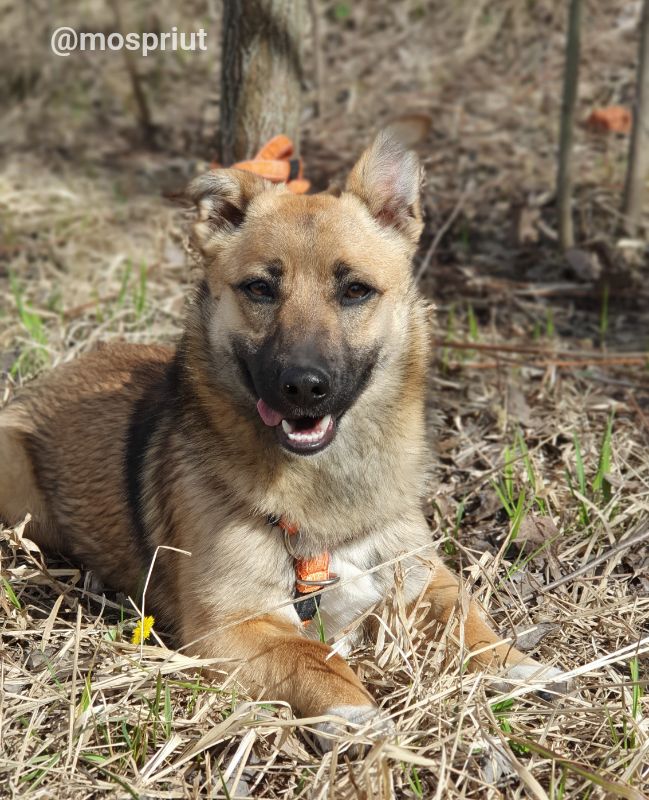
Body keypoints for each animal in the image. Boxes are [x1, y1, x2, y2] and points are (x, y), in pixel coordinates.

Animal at [0, 131, 564, 752]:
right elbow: (309, 653)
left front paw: (513, 663)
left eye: (356, 290)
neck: (322, 483)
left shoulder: (423, 578)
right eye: (261, 288)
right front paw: (355, 710)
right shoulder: (230, 626)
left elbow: (466, 617)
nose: (304, 387)